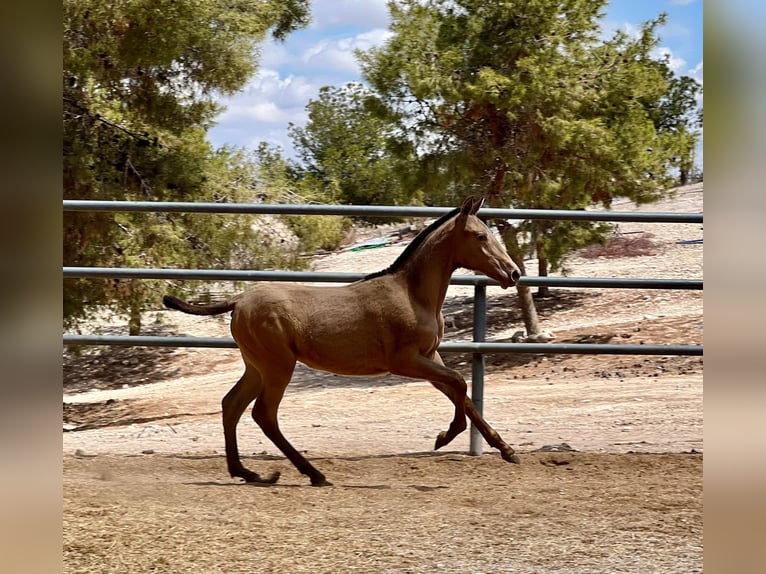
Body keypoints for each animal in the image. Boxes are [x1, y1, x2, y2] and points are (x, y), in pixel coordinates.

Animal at [162, 197, 520, 486]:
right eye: (480, 236)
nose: (514, 273)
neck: (412, 294)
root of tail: (238, 301)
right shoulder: (405, 361)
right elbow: (460, 383)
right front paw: (444, 437)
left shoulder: (430, 357)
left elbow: (464, 396)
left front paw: (507, 450)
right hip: (278, 366)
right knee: (264, 414)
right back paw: (313, 474)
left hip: (256, 366)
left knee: (231, 404)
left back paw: (248, 473)